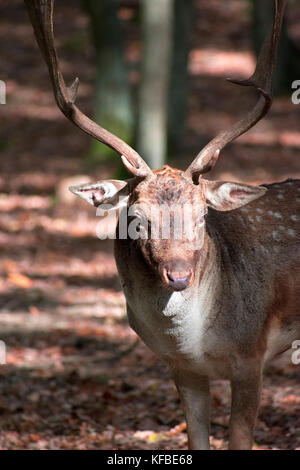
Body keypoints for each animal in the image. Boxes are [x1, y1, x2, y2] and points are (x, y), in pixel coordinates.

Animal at [24, 0, 298, 450]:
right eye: (138, 218)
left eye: (203, 215)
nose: (179, 276)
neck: (196, 343)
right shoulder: (182, 371)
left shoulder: (251, 356)